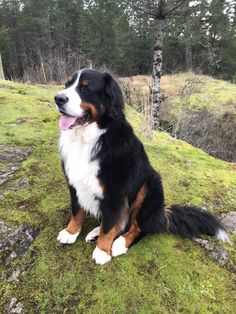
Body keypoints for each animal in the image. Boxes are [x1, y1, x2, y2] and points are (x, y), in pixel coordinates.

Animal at [54, 69, 229, 264]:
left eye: (85, 88)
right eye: (67, 85)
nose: (58, 99)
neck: (87, 139)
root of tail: (161, 213)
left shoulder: (116, 191)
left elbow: (110, 224)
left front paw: (102, 250)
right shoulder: (74, 183)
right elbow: (77, 211)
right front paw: (71, 232)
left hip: (149, 188)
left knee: (139, 227)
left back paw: (119, 244)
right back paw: (95, 233)